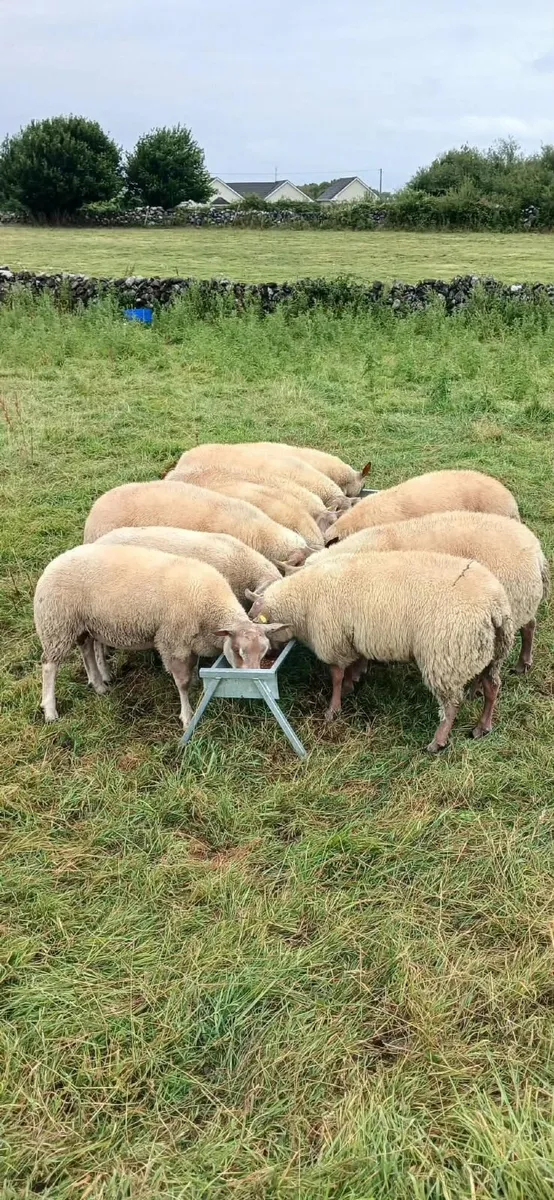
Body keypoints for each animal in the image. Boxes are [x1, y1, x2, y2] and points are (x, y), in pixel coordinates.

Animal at [34, 544, 274, 727]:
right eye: (238, 651)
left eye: (264, 653)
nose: (257, 680)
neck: (210, 607)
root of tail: (53, 563)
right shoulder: (172, 642)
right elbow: (182, 682)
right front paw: (187, 716)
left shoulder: (190, 642)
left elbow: (194, 667)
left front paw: (197, 683)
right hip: (57, 624)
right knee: (49, 665)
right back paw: (50, 711)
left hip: (83, 624)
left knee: (86, 650)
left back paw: (99, 686)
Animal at [246, 550, 514, 753]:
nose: (269, 658)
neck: (301, 599)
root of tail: (495, 606)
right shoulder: (353, 637)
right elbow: (354, 666)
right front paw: (352, 683)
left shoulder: (333, 641)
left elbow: (336, 676)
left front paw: (333, 708)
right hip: (492, 653)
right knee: (492, 687)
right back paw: (483, 727)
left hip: (445, 657)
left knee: (451, 705)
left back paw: (438, 742)